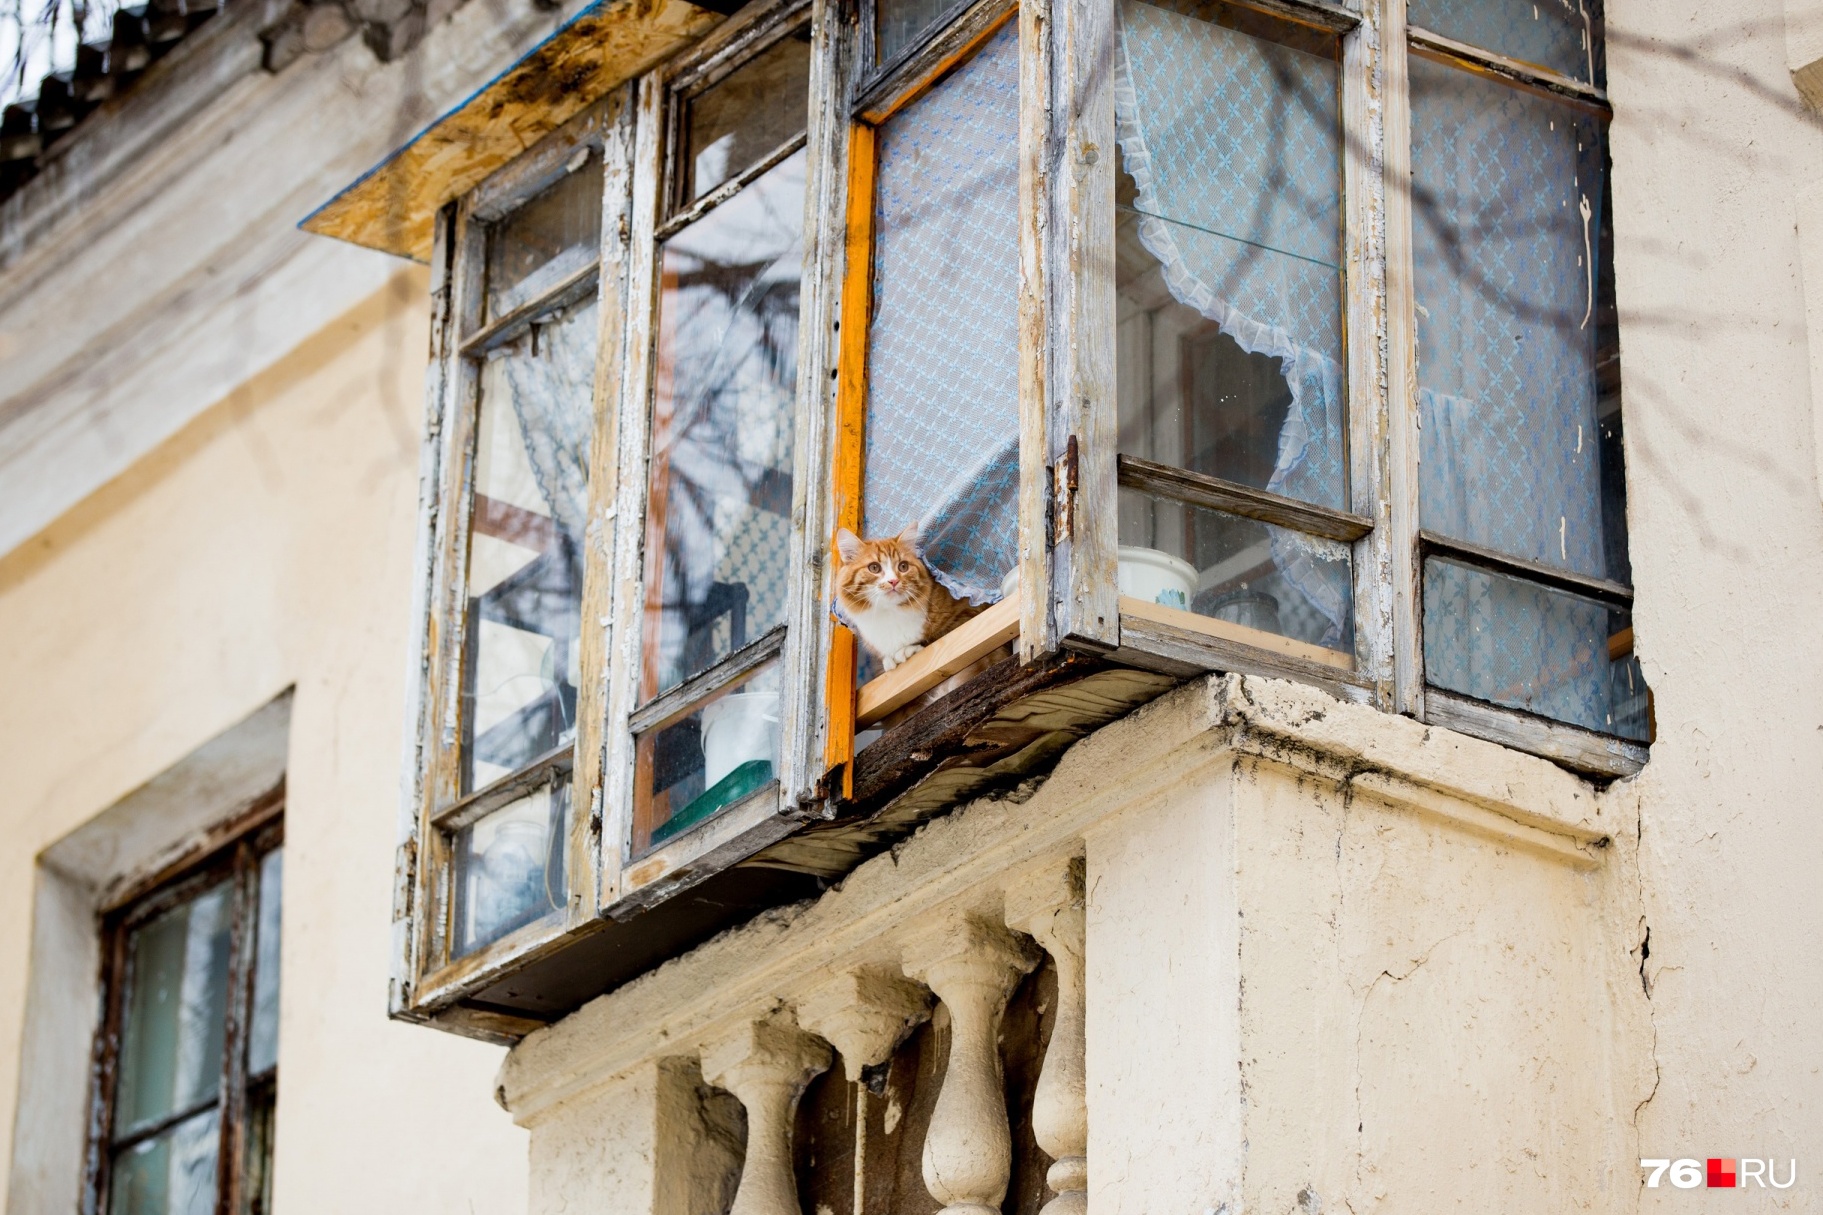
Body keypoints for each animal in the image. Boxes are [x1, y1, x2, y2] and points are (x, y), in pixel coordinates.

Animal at [834, 521, 984, 667]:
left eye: (903, 566)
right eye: (874, 567)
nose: (893, 581)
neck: (889, 615)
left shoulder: (967, 612)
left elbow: (937, 636)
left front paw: (906, 650)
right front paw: (889, 660)